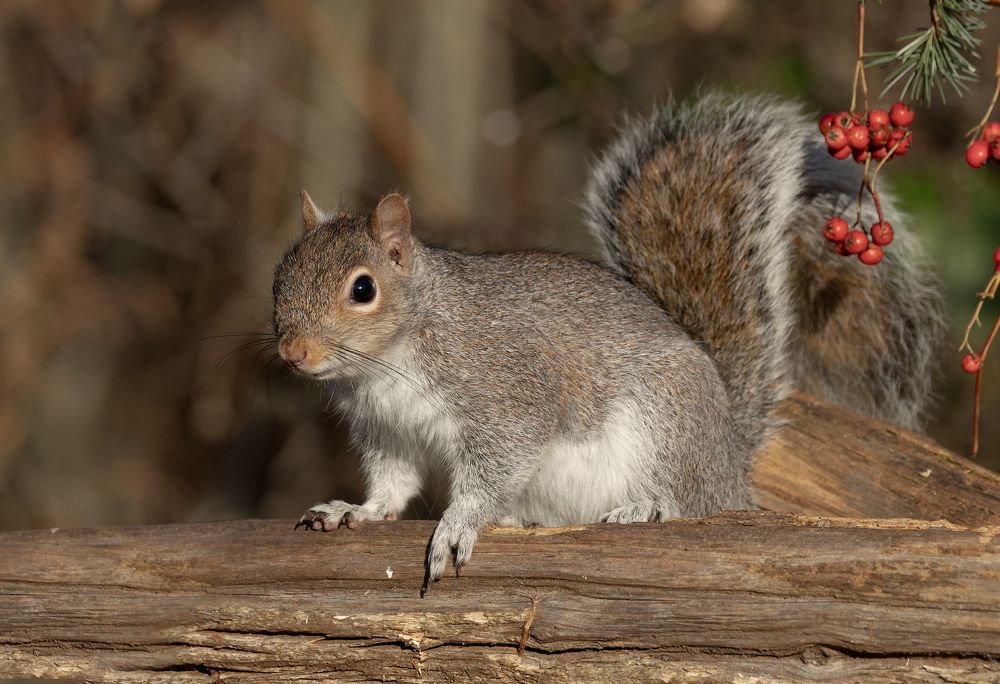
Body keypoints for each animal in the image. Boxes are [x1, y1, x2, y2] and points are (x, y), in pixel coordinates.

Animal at [272, 92, 943, 592]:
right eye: (281, 272)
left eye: (363, 289)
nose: (292, 352)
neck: (385, 363)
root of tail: (729, 461)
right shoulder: (389, 432)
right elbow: (392, 488)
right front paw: (353, 512)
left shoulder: (504, 392)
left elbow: (495, 463)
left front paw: (459, 522)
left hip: (666, 424)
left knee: (691, 503)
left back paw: (648, 507)